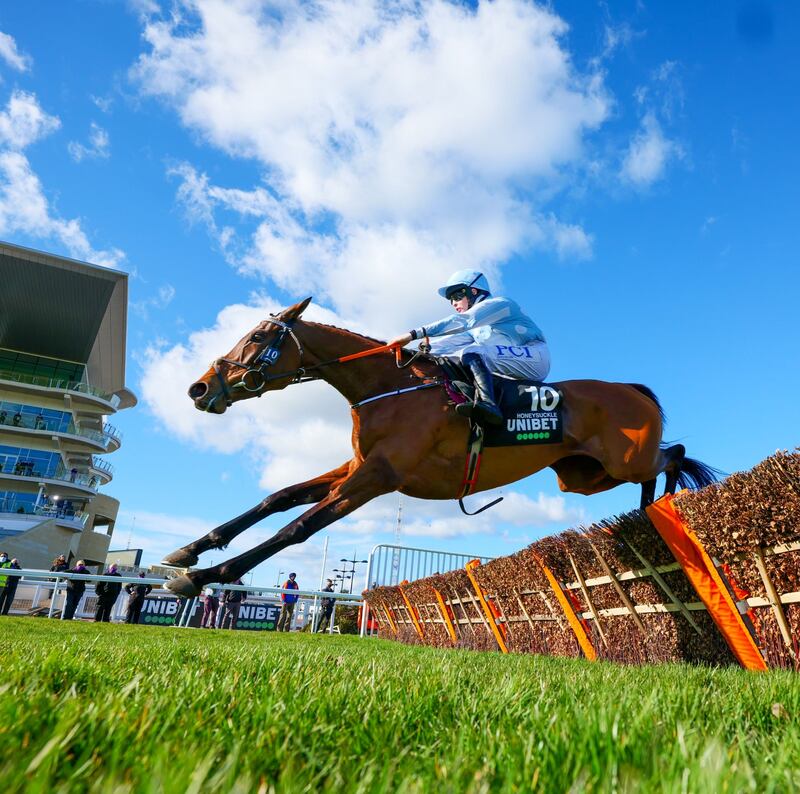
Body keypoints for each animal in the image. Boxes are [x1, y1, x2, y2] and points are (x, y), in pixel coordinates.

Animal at [161, 296, 712, 592]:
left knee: (674, 457)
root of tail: (632, 390)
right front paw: (188, 551)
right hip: (582, 476)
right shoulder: (357, 465)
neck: (387, 385)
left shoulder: (379, 476)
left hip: (624, 459)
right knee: (656, 468)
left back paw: (664, 507)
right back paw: (647, 512)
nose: (199, 389)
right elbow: (279, 498)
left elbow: (298, 527)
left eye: (257, 338)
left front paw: (207, 575)